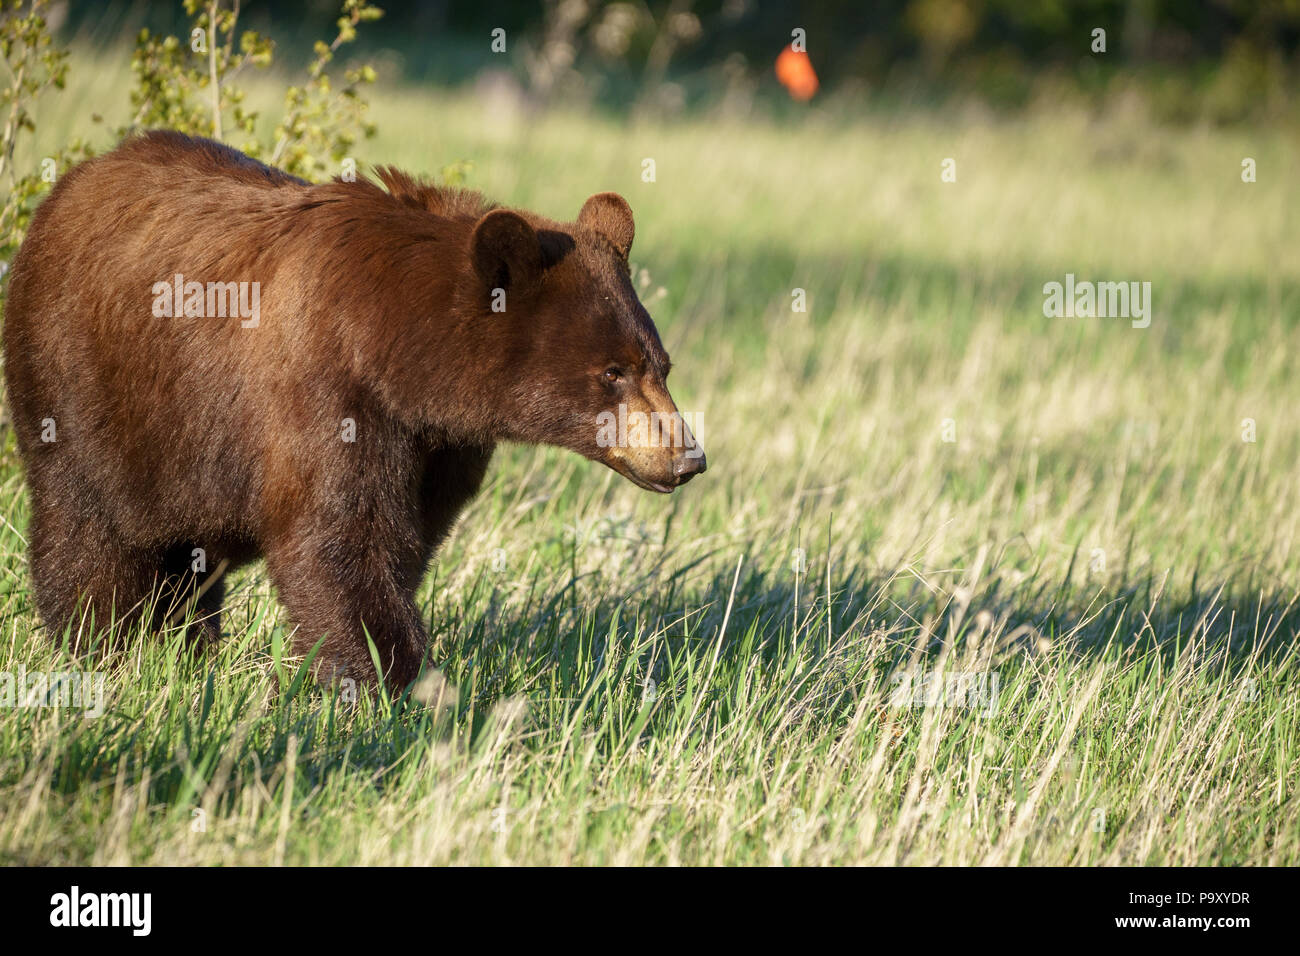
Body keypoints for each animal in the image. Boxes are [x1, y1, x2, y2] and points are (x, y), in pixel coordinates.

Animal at [2, 130, 712, 691]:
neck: (396, 353)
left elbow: (405, 541)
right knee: (87, 529)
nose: (687, 456)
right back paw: (102, 649)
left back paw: (185, 648)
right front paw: (390, 685)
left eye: (662, 364)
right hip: (85, 389)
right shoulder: (328, 392)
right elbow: (343, 542)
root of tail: (68, 186)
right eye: (612, 373)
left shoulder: (436, 446)